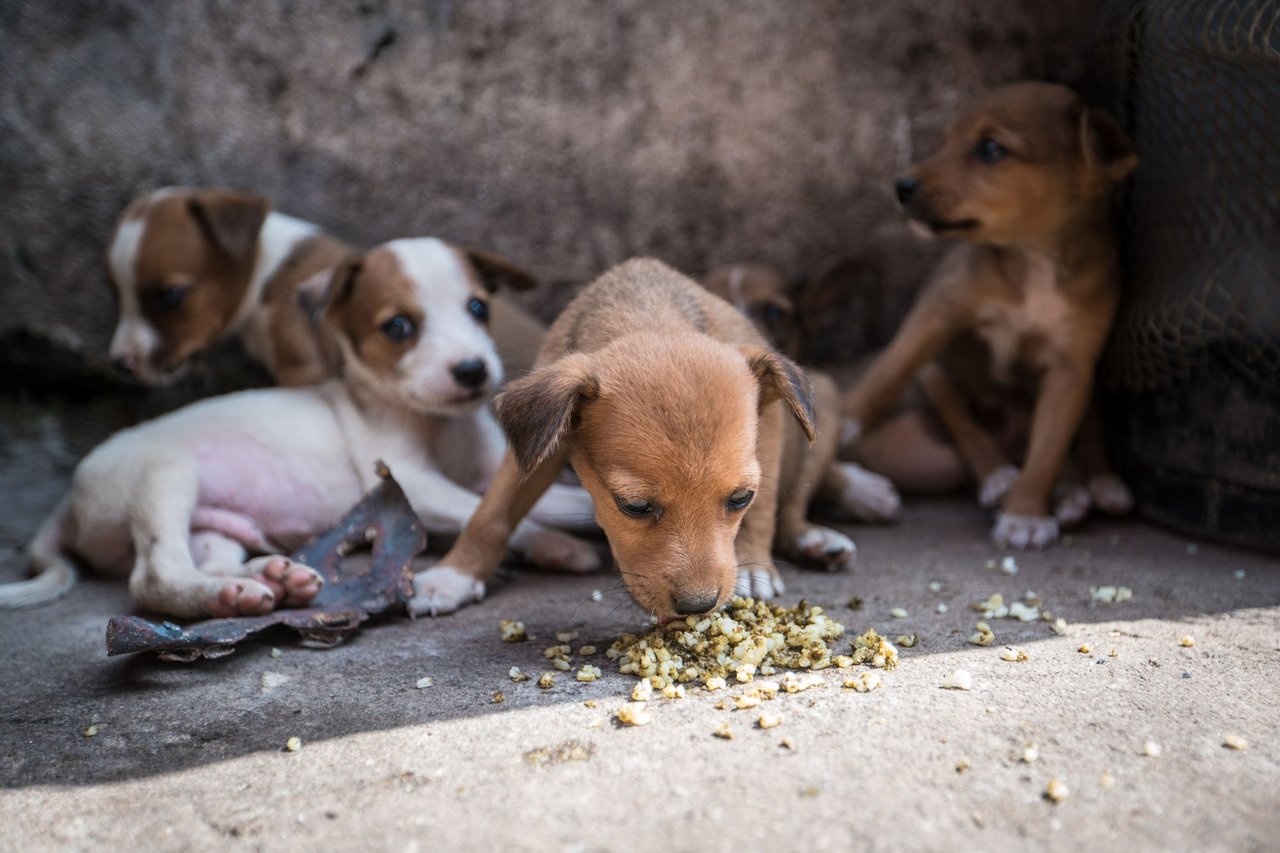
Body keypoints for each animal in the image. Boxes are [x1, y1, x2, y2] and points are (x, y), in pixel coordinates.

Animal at [1, 235, 599, 614]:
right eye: (398, 327)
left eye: (478, 308)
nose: (473, 370)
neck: (437, 422)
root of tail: (68, 499)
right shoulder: (412, 484)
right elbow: (487, 508)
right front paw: (560, 531)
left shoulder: (483, 468)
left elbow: (521, 502)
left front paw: (559, 538)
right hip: (164, 479)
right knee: (154, 576)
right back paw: (230, 596)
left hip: (214, 529)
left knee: (203, 562)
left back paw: (270, 579)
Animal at [409, 257, 819, 617]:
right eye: (634, 506)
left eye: (740, 498)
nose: (698, 606)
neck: (646, 314)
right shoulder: (539, 445)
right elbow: (491, 512)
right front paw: (452, 577)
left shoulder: (769, 423)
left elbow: (764, 505)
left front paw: (753, 565)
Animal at [844, 79, 1136, 545]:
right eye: (944, 141)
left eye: (990, 149)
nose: (901, 186)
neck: (1034, 256)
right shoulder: (938, 310)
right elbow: (893, 365)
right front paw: (849, 417)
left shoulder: (1071, 366)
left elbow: (1050, 446)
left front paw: (1026, 513)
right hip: (938, 372)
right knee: (960, 415)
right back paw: (999, 476)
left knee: (1080, 432)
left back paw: (1091, 487)